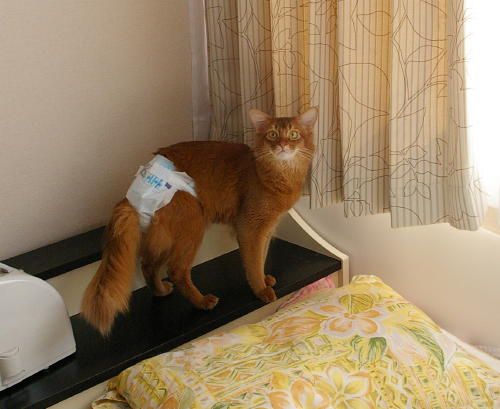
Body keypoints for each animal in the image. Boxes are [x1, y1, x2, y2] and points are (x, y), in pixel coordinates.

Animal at [81, 107, 318, 335]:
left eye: (294, 134)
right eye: (273, 135)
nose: (283, 146)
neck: (277, 175)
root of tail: (130, 197)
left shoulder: (267, 228)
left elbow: (262, 256)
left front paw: (265, 279)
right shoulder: (249, 227)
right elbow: (253, 262)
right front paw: (260, 290)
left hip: (162, 236)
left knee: (147, 264)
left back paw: (160, 292)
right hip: (193, 221)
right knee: (176, 270)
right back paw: (202, 302)